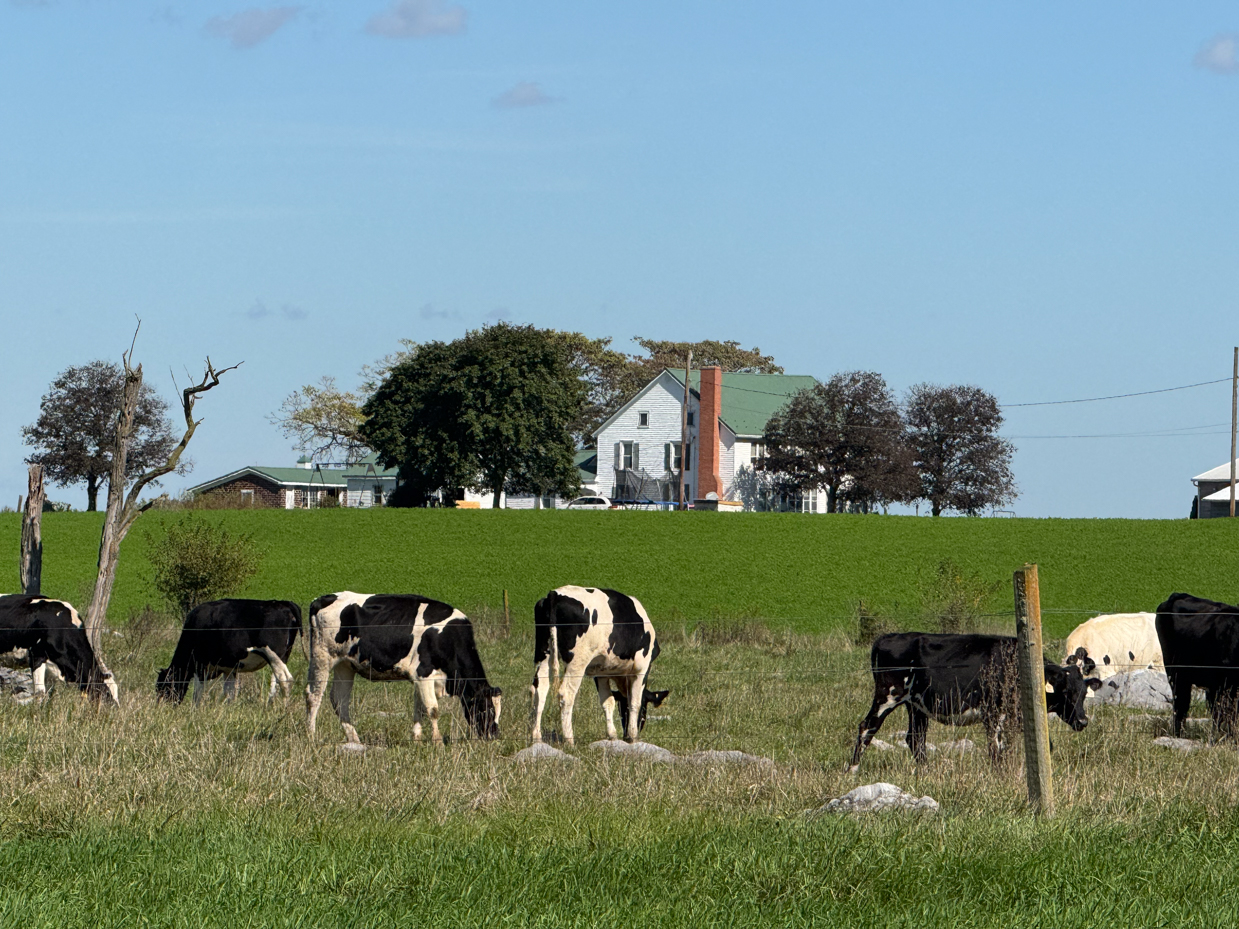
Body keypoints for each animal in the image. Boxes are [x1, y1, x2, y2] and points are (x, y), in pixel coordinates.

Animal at [156, 599, 301, 703]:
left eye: (164, 688)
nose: (162, 708)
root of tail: (284, 603)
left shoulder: (200, 665)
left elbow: (197, 694)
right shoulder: (229, 668)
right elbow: (230, 692)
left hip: (272, 653)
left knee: (285, 679)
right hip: (282, 656)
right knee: (276, 680)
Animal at [306, 597, 503, 748]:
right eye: (486, 709)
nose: (493, 736)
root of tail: (323, 598)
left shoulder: (420, 678)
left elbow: (420, 710)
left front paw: (416, 740)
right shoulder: (424, 673)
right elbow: (433, 710)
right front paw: (438, 743)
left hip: (345, 665)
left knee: (339, 700)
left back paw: (354, 739)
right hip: (322, 657)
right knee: (313, 696)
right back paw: (311, 736)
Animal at [530, 589, 669, 748]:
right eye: (646, 709)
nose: (626, 735)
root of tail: (555, 593)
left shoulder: (601, 672)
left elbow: (608, 701)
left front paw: (612, 735)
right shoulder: (642, 669)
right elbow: (635, 701)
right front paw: (634, 737)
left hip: (543, 653)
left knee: (539, 690)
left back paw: (536, 737)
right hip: (577, 661)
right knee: (566, 694)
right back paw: (569, 740)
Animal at [852, 634, 1105, 772]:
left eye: (1084, 693)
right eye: (1066, 691)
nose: (1083, 721)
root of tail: (887, 637)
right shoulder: (993, 713)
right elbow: (995, 749)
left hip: (916, 705)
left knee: (915, 739)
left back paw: (926, 771)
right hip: (888, 695)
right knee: (867, 727)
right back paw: (852, 769)